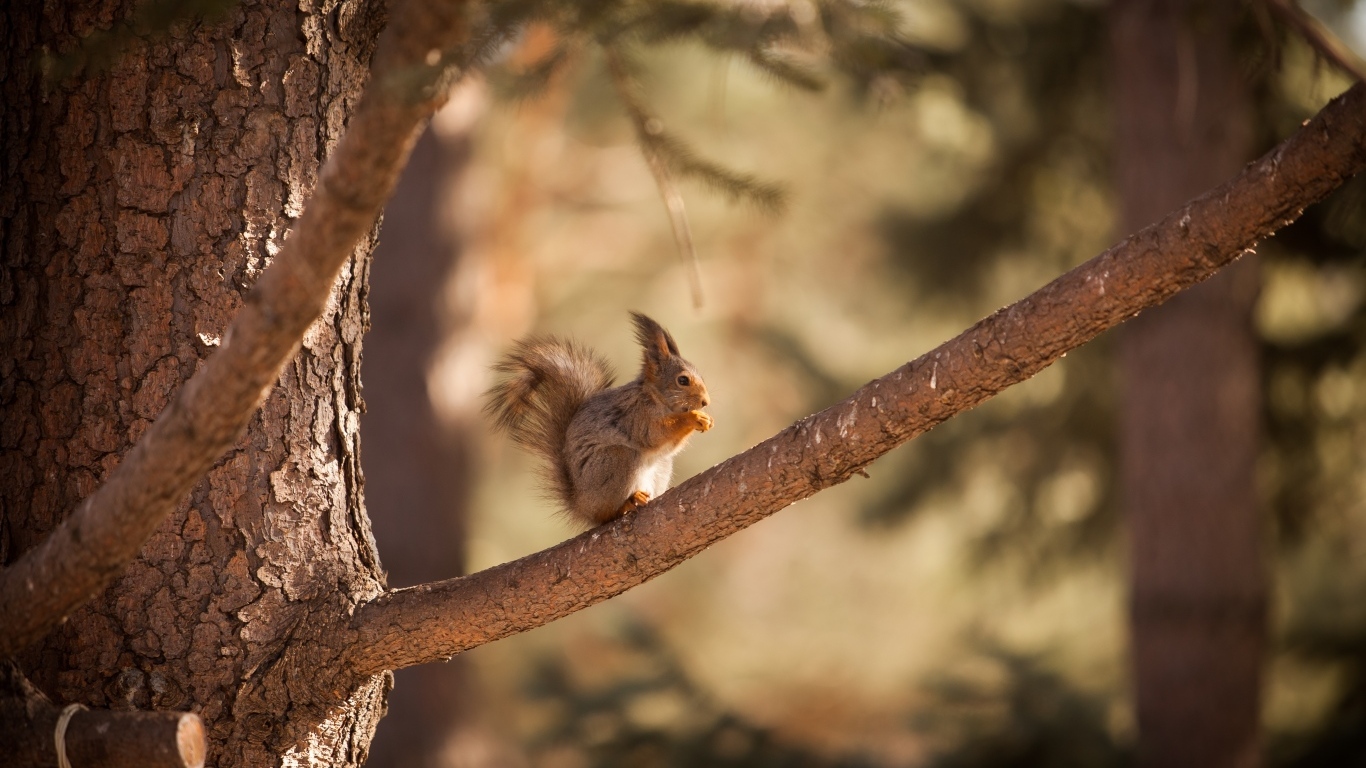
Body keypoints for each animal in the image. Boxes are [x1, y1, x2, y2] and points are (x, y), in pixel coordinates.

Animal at [486, 307, 715, 522]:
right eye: (682, 380)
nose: (706, 402)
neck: (656, 397)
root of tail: (582, 505)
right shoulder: (636, 415)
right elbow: (654, 435)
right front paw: (694, 418)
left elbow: (669, 446)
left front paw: (706, 419)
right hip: (616, 461)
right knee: (605, 514)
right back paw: (625, 504)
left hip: (661, 467)